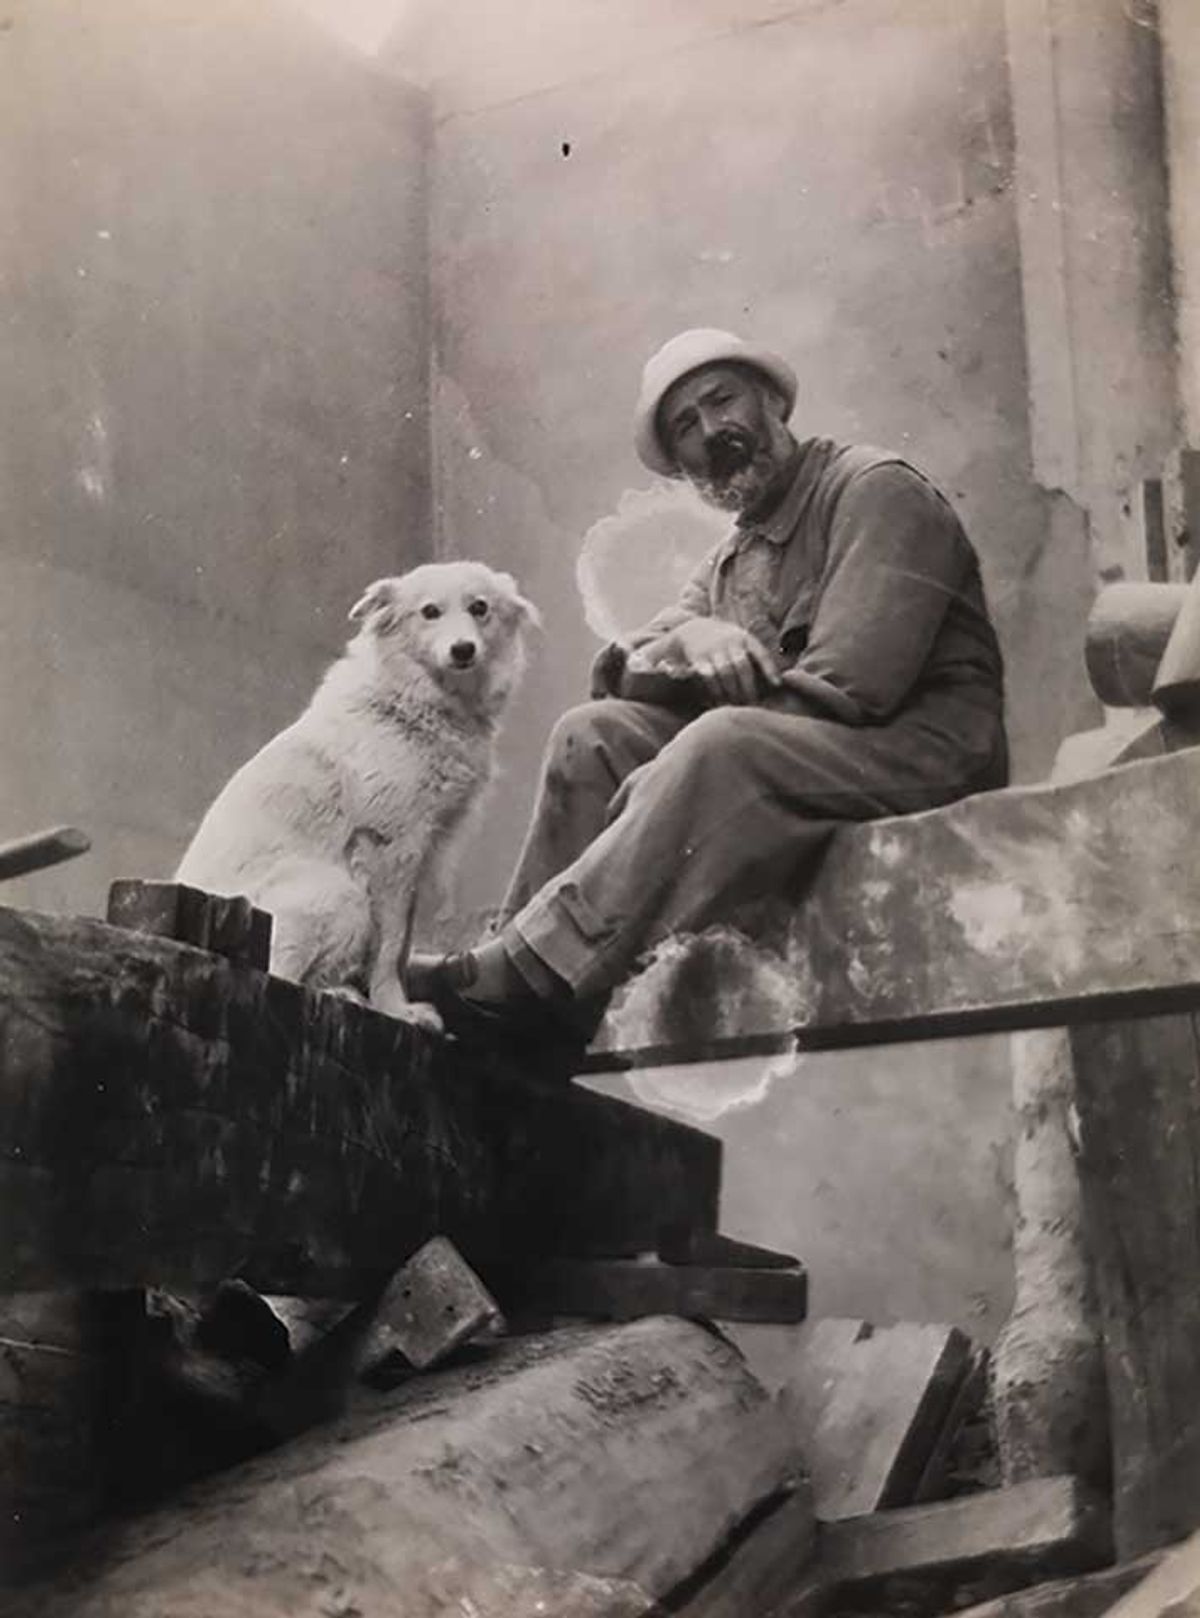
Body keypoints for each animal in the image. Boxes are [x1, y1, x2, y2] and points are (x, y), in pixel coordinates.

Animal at [175, 563, 540, 1016]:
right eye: (430, 612)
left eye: (480, 608)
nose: (463, 650)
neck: (408, 702)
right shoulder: (392, 847)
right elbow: (390, 947)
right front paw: (395, 1008)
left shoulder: (421, 855)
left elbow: (403, 946)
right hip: (339, 894)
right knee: (277, 977)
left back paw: (340, 991)